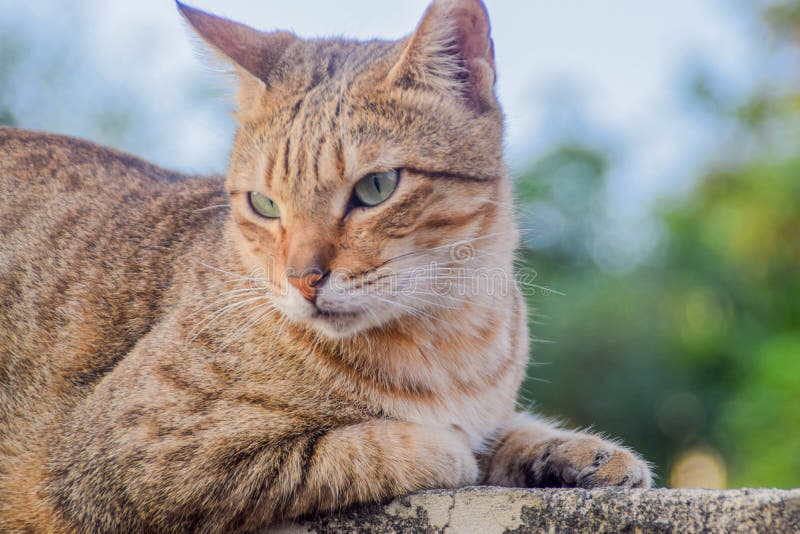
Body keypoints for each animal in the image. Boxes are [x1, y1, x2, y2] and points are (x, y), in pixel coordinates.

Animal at [0, 2, 648, 532]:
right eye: (264, 204)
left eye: (376, 188)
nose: (302, 279)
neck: (450, 337)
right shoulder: (124, 458)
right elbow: (352, 449)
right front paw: (445, 446)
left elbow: (515, 427)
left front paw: (575, 452)